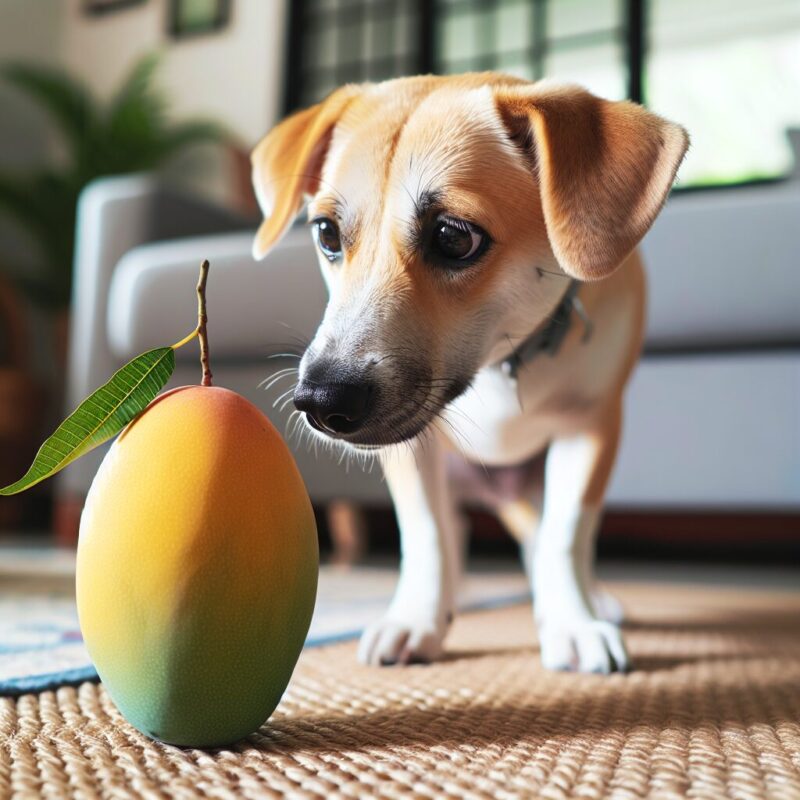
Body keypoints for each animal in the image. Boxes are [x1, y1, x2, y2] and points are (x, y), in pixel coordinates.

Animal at [248, 76, 688, 676]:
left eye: (455, 237)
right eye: (327, 233)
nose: (320, 399)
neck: (499, 362)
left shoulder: (589, 425)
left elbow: (566, 535)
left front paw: (572, 622)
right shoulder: (412, 452)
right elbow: (427, 534)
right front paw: (417, 619)